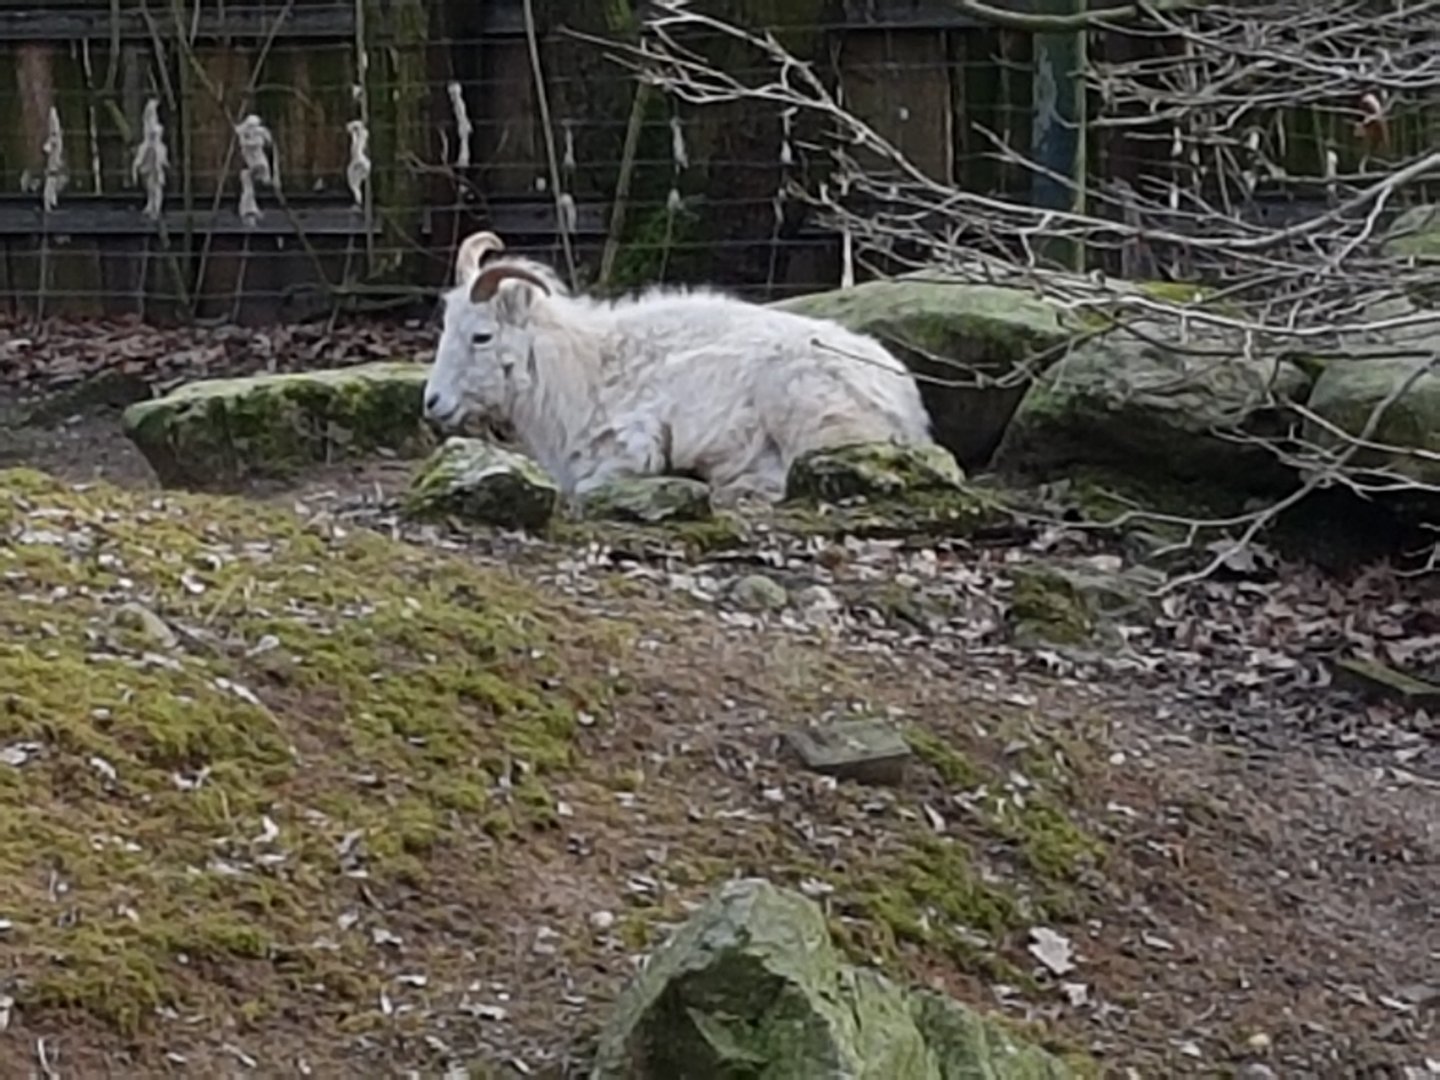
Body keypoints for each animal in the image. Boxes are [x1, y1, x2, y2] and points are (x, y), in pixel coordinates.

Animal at [423, 230, 936, 506]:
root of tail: (907, 406)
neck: (587, 367)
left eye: (481, 336)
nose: (433, 402)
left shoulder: (633, 447)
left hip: (801, 410)